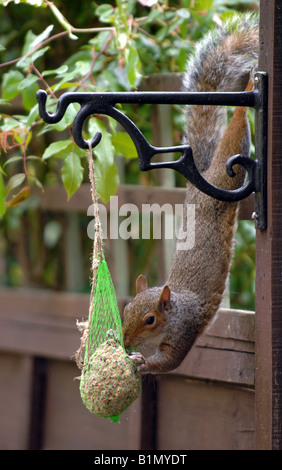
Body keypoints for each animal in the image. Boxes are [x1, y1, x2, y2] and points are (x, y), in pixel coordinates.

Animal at [122, 12, 258, 374]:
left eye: (150, 319)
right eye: (125, 310)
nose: (126, 341)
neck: (175, 311)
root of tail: (202, 178)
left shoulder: (183, 332)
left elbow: (169, 362)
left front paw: (142, 363)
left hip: (231, 170)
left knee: (238, 126)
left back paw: (249, 90)